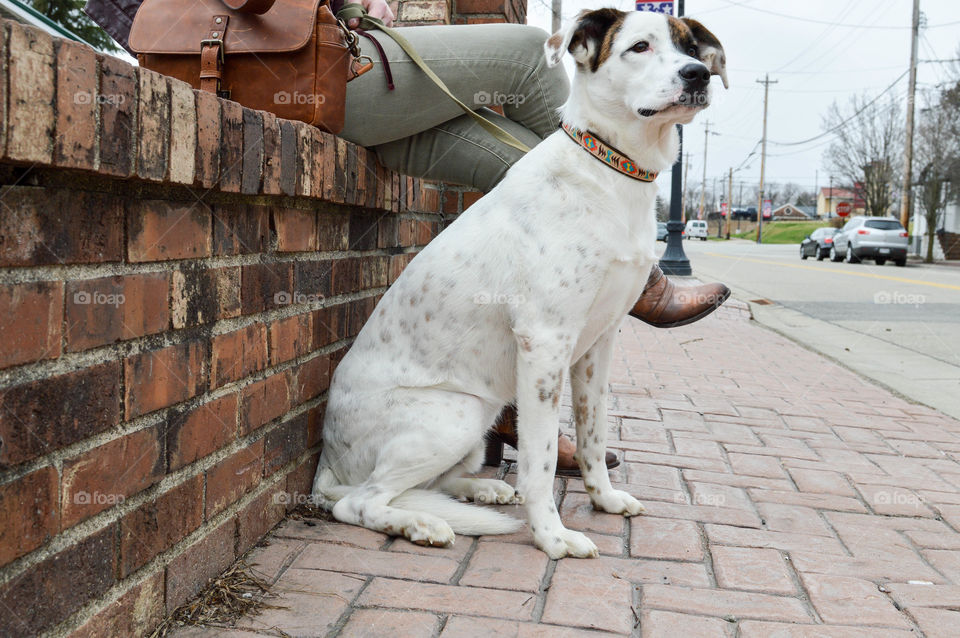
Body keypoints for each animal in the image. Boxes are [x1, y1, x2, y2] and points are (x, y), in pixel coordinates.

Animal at [316, 8, 728, 560]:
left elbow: (593, 434)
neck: (613, 173)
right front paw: (553, 536)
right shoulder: (546, 344)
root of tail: (326, 462)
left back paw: (480, 490)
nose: (697, 76)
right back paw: (420, 524)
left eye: (691, 48)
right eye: (639, 47)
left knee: (427, 486)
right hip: (456, 413)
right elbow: (542, 459)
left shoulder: (598, 344)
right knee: (360, 501)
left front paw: (603, 499)